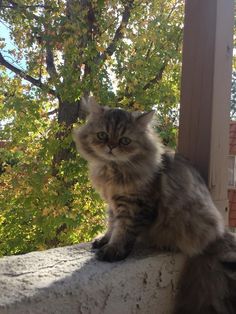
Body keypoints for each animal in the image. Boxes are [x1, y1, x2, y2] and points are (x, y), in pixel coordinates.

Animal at [73, 96, 236, 314]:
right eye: (102, 135)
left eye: (125, 140)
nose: (111, 147)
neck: (112, 170)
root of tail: (218, 234)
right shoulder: (113, 204)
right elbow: (111, 225)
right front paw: (104, 239)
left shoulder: (134, 205)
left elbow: (122, 231)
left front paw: (113, 250)